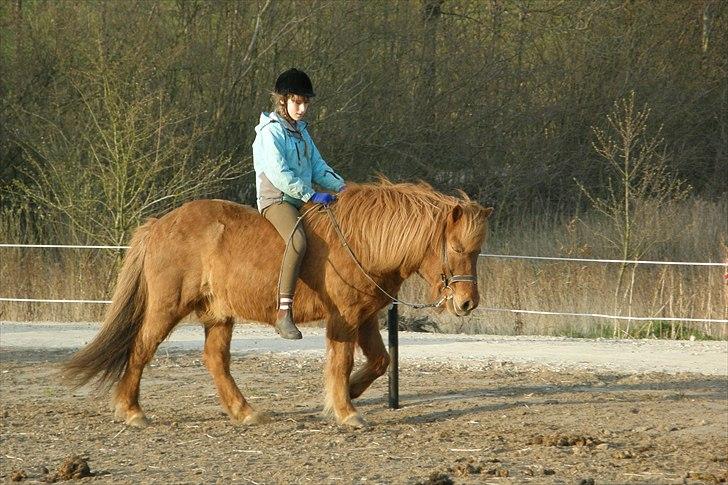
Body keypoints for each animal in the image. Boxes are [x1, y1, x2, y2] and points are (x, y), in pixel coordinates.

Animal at [62, 179, 494, 428]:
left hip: (218, 313)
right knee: (141, 348)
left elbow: (379, 360)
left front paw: (351, 393)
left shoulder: (366, 317)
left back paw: (244, 412)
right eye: (457, 248)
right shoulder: (344, 318)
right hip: (168, 307)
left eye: (477, 251)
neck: (363, 242)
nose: (467, 303)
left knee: (215, 361)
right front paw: (346, 411)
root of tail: (159, 224)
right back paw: (131, 410)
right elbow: (342, 361)